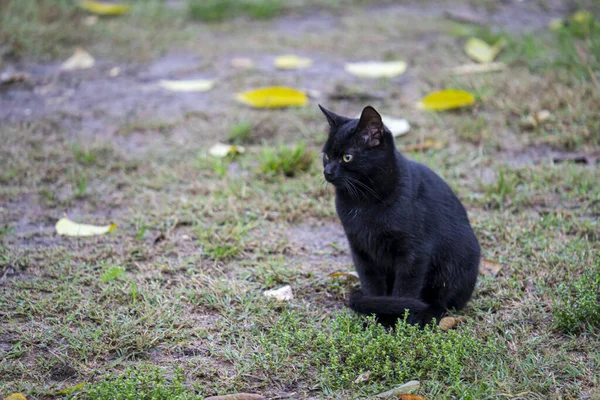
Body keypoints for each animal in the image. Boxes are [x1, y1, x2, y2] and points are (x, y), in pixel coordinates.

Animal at [322, 104, 480, 326]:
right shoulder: (360, 249)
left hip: (454, 264)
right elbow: (373, 287)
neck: (363, 202)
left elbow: (405, 289)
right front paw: (377, 319)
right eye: (326, 156)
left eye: (347, 157)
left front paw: (397, 321)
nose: (327, 171)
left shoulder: (415, 252)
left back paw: (425, 317)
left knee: (443, 301)